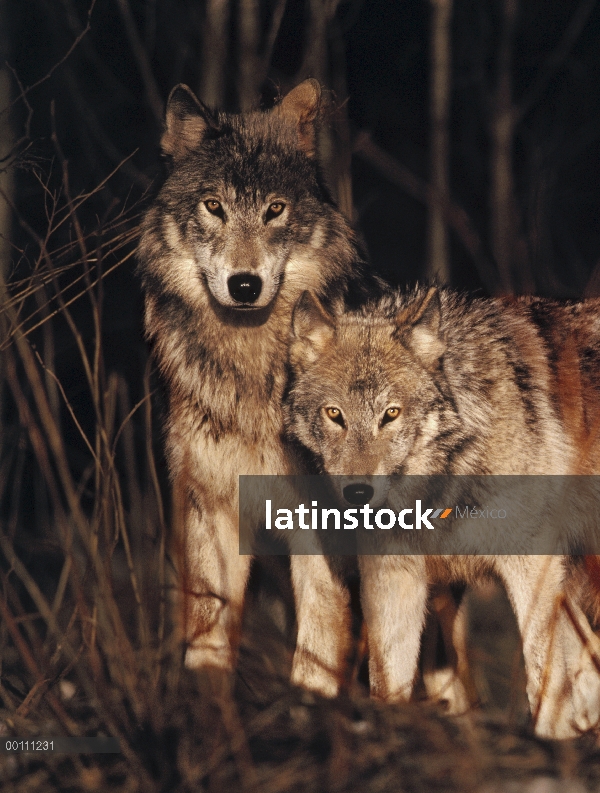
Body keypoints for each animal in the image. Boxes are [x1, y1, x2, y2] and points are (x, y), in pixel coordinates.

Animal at [138, 77, 368, 688]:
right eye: (214, 206)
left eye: (275, 209)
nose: (245, 284)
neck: (250, 372)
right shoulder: (211, 507)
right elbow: (208, 633)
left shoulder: (320, 524)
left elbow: (317, 648)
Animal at [284, 288, 600, 740]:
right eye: (334, 415)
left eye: (391, 414)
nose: (358, 493)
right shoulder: (395, 573)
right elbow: (388, 678)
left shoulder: (531, 564)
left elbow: (544, 674)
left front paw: (550, 742)